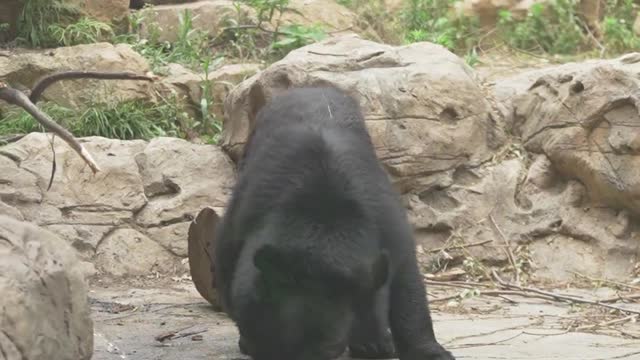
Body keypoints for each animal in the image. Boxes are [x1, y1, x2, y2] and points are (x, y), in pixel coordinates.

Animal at [212, 87, 452, 360]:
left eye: (331, 350)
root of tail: (309, 87)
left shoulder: (386, 220)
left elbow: (406, 282)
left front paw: (426, 351)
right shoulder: (249, 212)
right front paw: (251, 341)